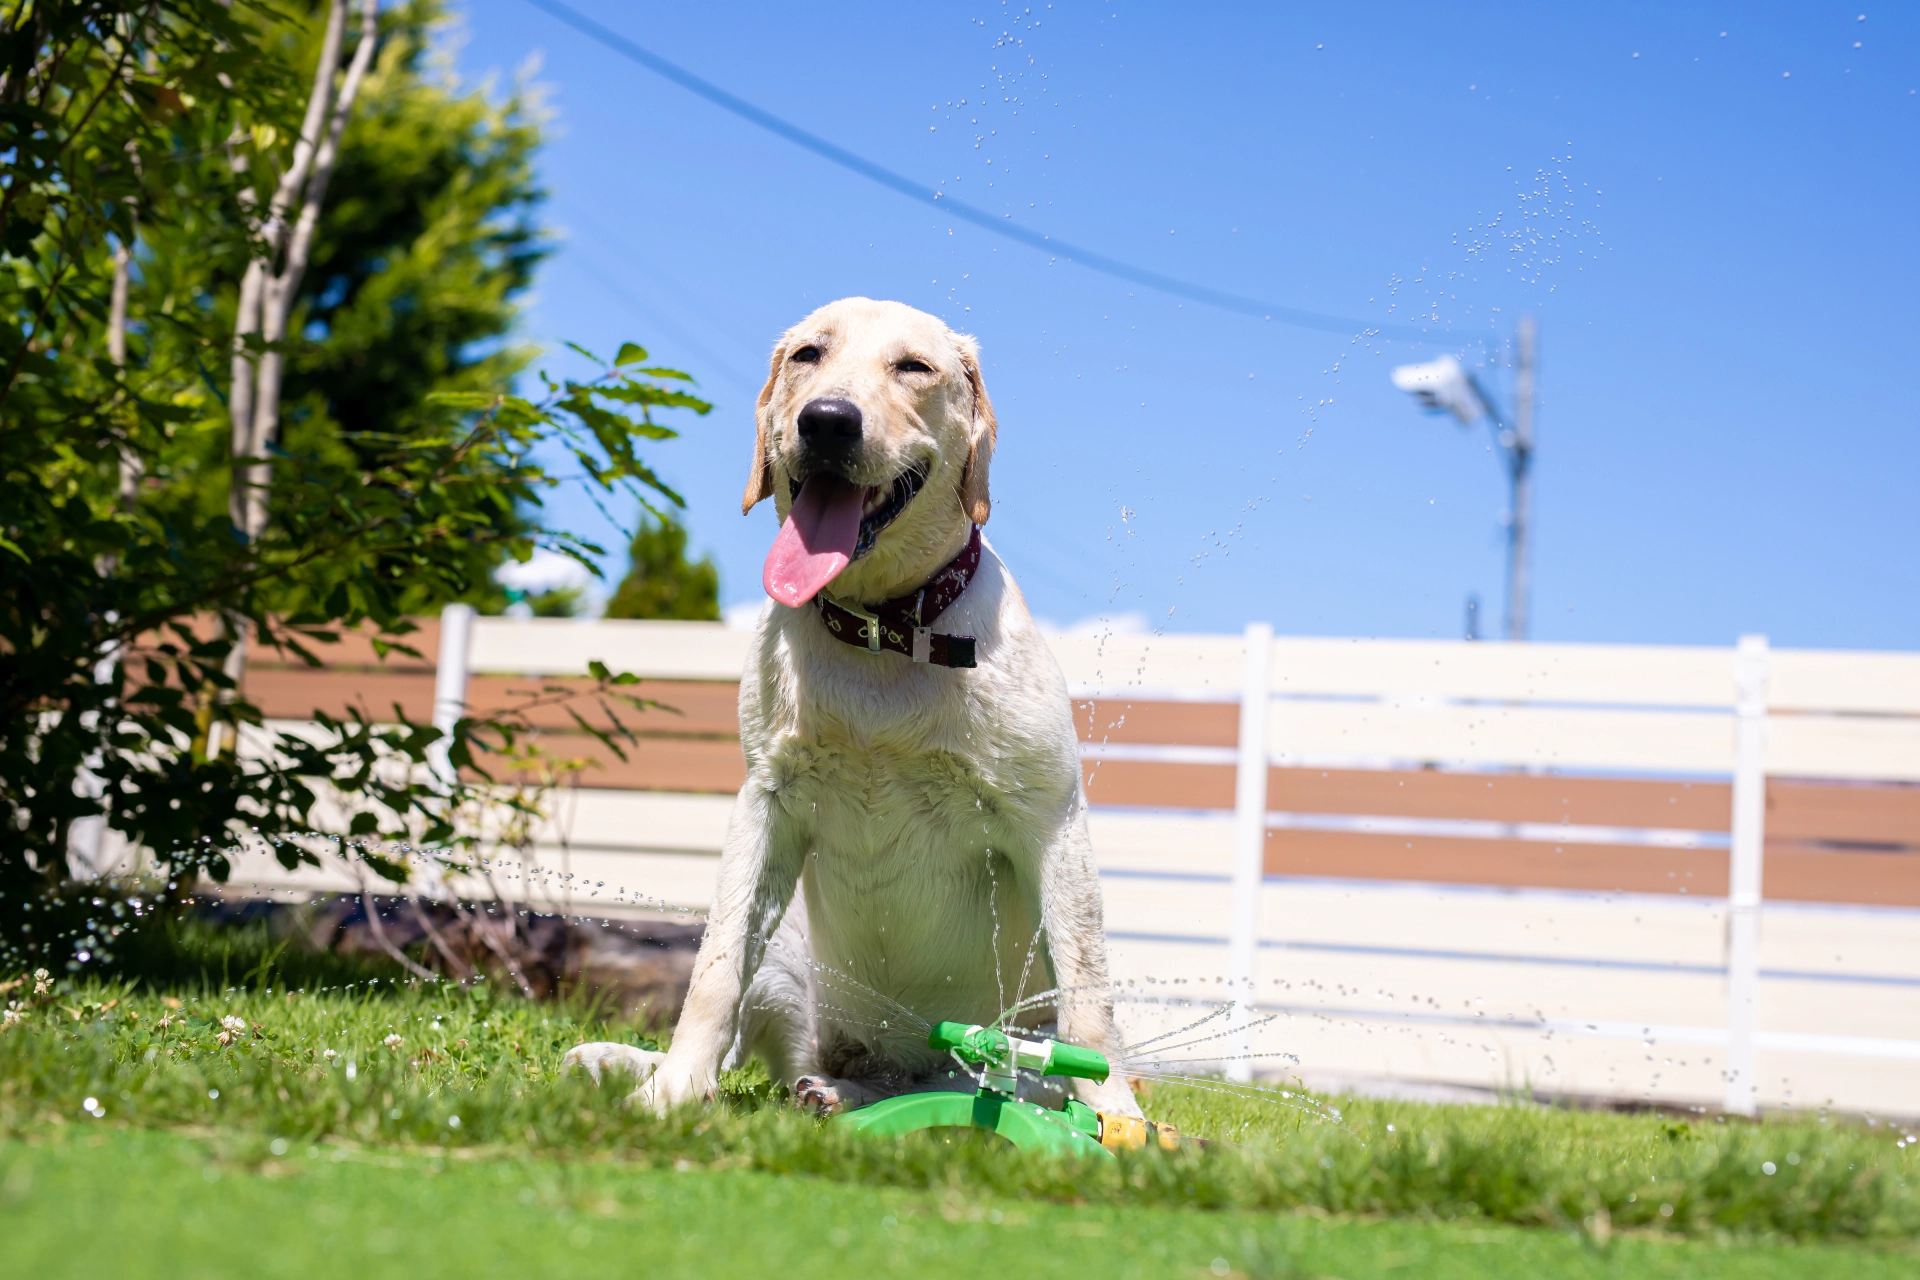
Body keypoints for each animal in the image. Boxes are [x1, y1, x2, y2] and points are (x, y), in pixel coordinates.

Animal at [564, 301, 1136, 1120]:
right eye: (808, 354)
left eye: (914, 367)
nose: (827, 421)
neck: (883, 630)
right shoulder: (764, 804)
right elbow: (713, 973)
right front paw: (670, 1091)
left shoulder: (1051, 821)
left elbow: (1090, 1003)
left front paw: (1119, 1119)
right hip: (787, 953)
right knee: (750, 1028)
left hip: (1002, 1042)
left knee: (976, 1077)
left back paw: (852, 1092)